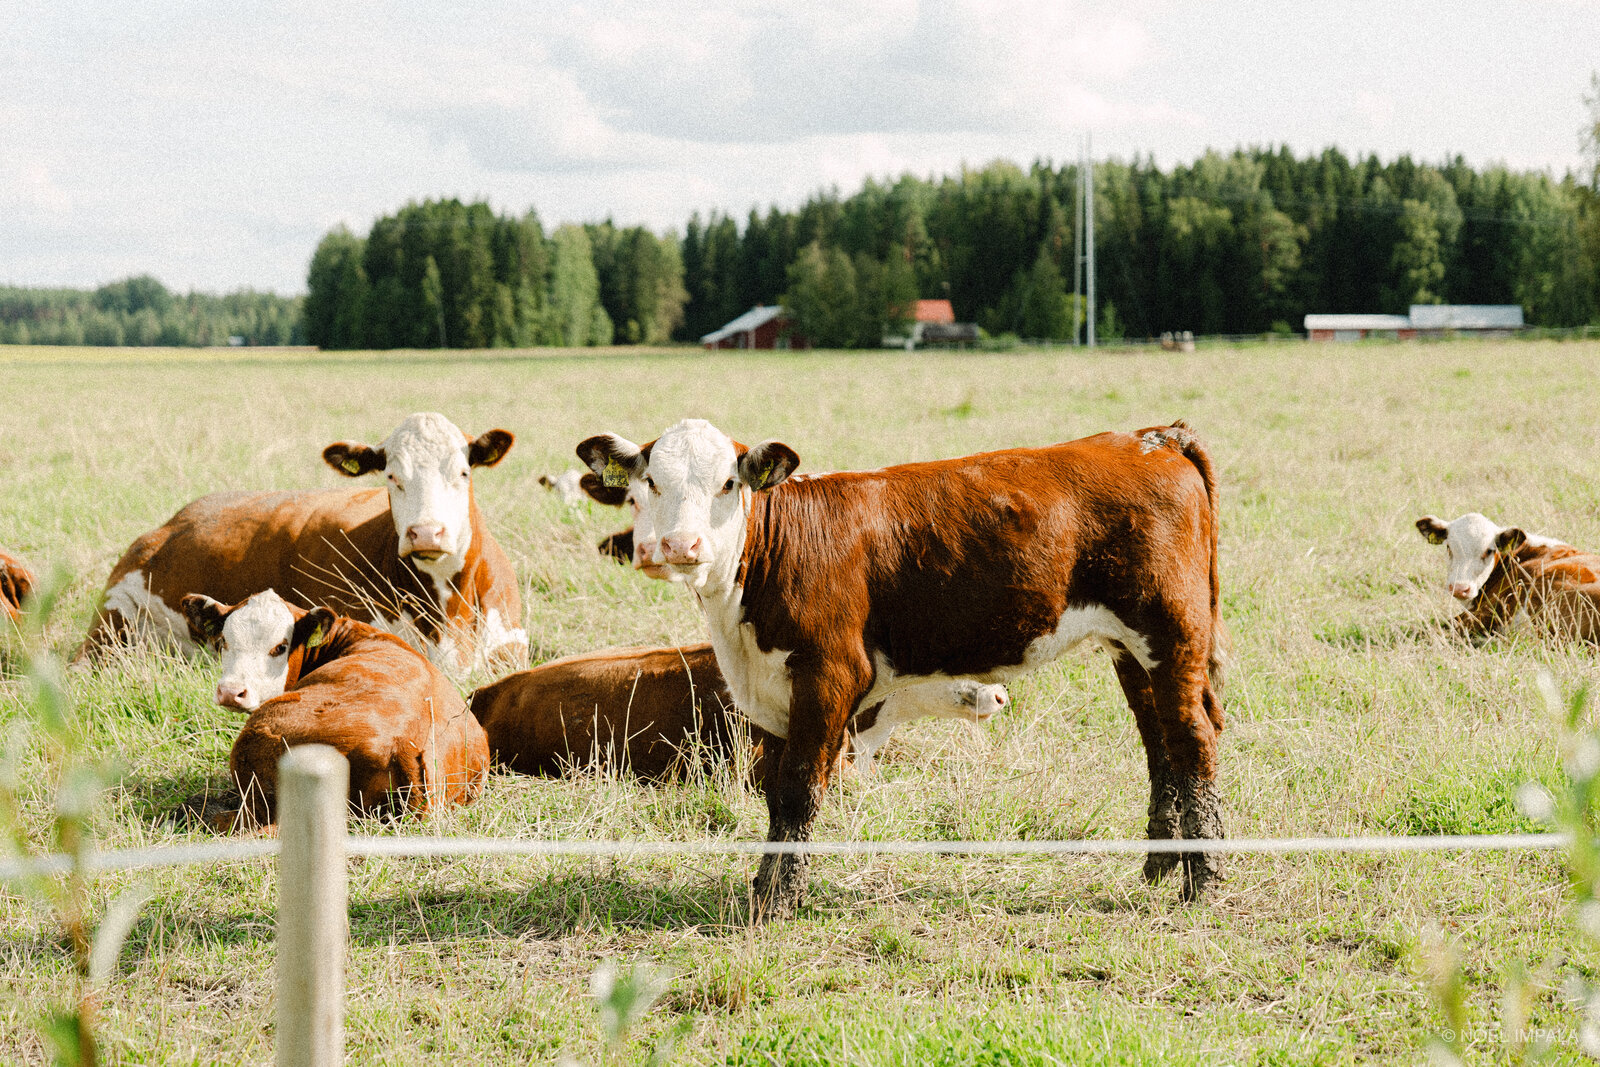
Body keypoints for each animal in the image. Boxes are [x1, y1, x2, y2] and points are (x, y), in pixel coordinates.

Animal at [78, 413, 528, 673]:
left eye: (463, 472)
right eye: (392, 476)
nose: (426, 532)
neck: (446, 614)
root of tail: (173, 523)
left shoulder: (511, 647)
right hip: (112, 620)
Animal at [578, 418, 1226, 918]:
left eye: (727, 483)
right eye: (648, 483)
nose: (678, 546)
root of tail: (1151, 437)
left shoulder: (830, 676)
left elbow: (797, 791)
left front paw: (777, 902)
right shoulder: (772, 691)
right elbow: (774, 795)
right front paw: (765, 889)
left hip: (1172, 630)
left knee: (1193, 738)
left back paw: (1205, 880)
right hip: (1130, 647)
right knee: (1159, 739)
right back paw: (1161, 866)